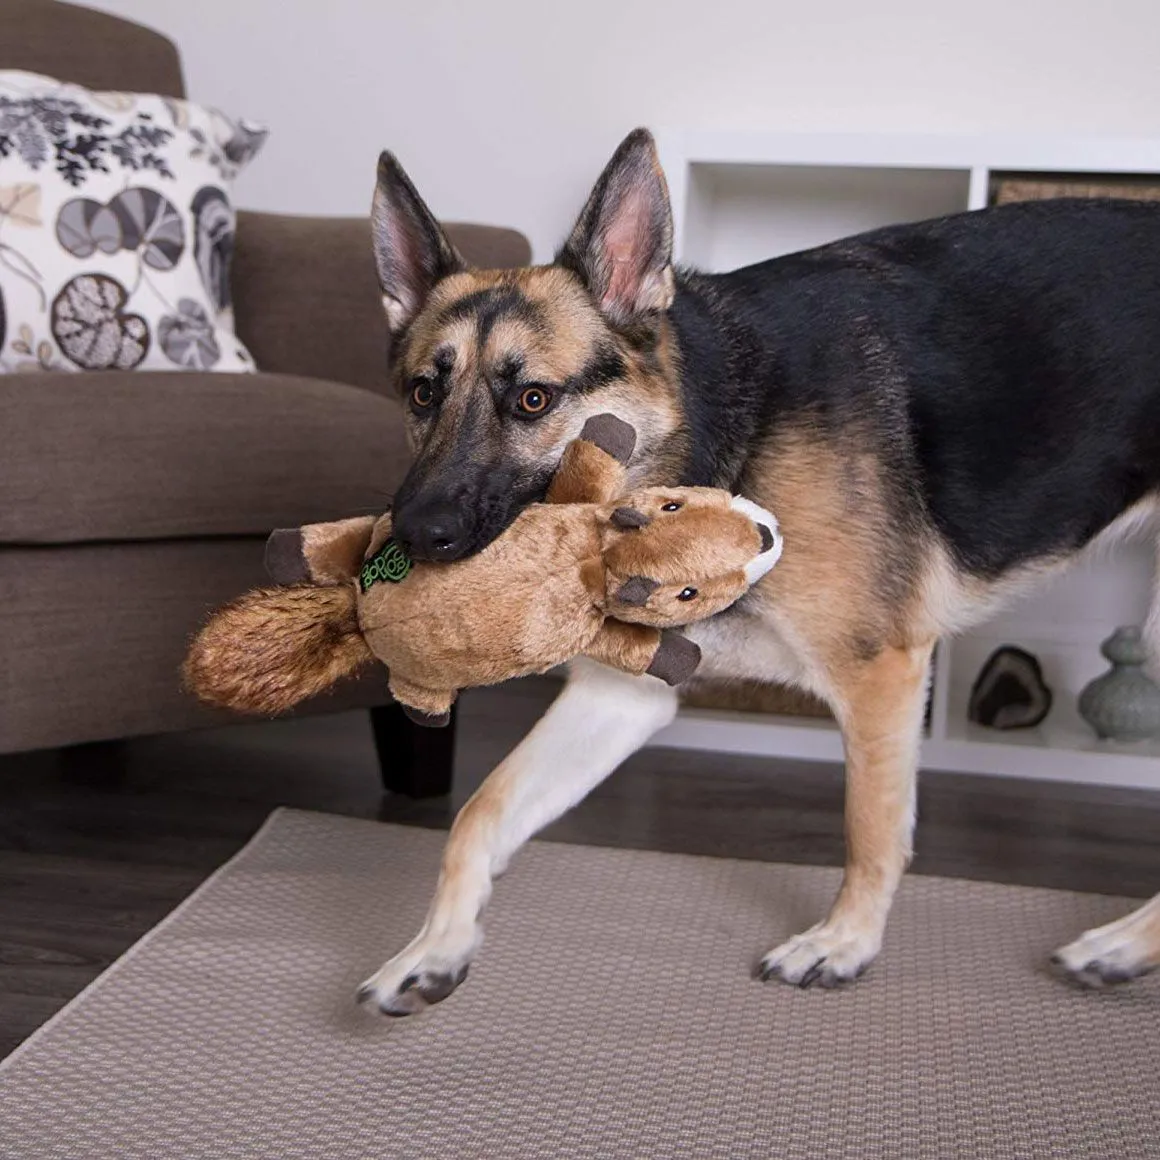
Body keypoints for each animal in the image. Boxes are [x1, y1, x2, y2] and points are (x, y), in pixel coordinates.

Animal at [354, 129, 1160, 1016]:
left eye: (533, 399)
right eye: (423, 394)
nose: (414, 538)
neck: (709, 444)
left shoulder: (879, 675)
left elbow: (870, 830)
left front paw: (845, 943)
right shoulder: (619, 698)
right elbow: (480, 814)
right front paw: (434, 947)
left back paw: (1122, 945)